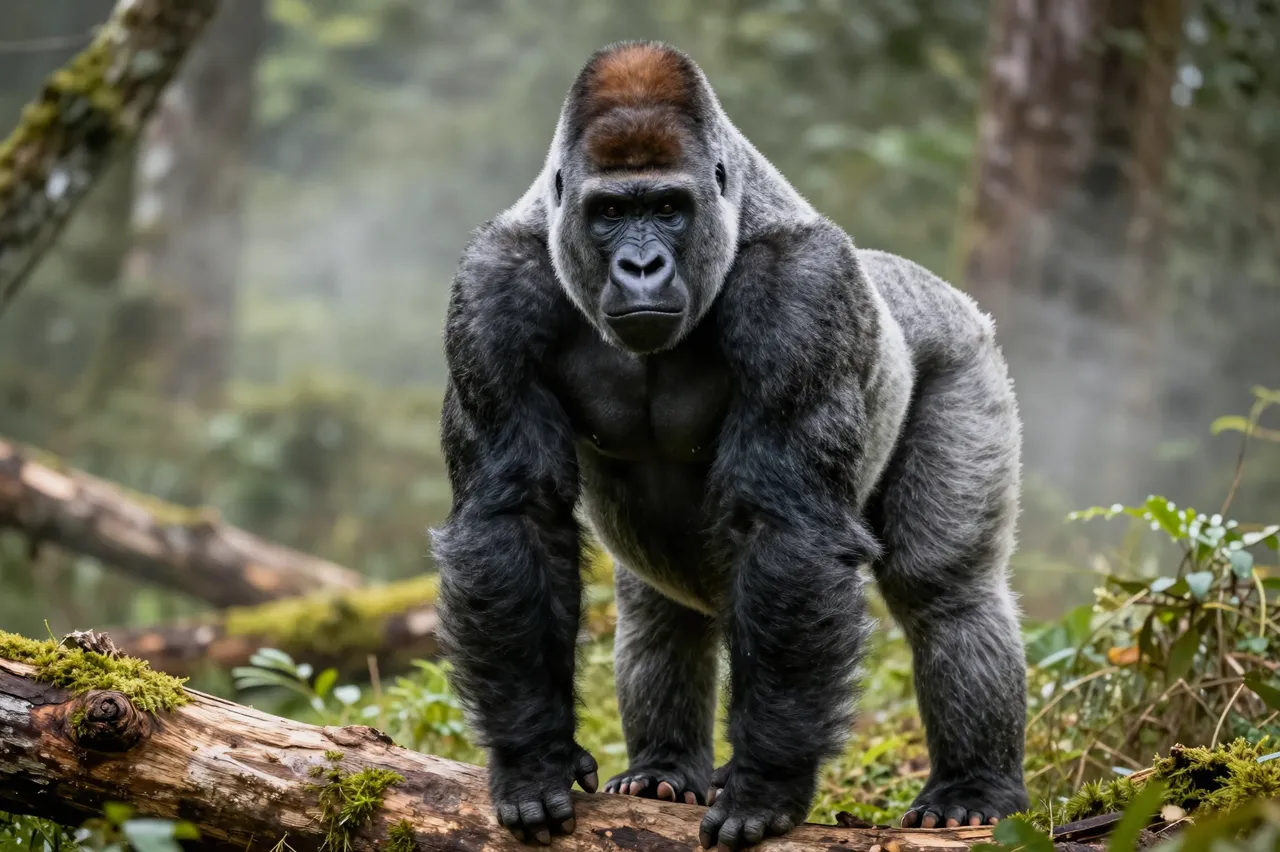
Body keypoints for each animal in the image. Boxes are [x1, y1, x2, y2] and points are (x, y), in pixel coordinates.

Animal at [431, 41, 1029, 851]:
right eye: (611, 212)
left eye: (668, 208)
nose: (641, 267)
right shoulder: (490, 289)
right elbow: (513, 514)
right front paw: (533, 757)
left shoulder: (805, 292)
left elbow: (790, 529)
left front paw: (765, 784)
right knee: (660, 609)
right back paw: (662, 772)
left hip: (962, 351)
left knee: (947, 591)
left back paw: (973, 789)